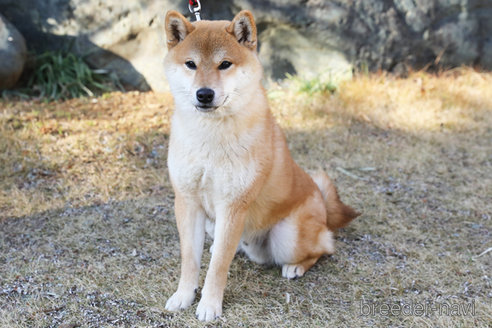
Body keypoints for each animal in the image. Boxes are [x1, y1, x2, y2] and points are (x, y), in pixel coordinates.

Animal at [163, 9, 360, 320]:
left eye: (225, 64)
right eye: (191, 64)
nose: (204, 94)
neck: (210, 137)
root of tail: (322, 206)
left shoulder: (233, 206)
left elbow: (218, 267)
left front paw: (209, 305)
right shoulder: (187, 202)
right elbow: (190, 260)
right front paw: (184, 296)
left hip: (287, 238)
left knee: (325, 246)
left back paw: (296, 266)